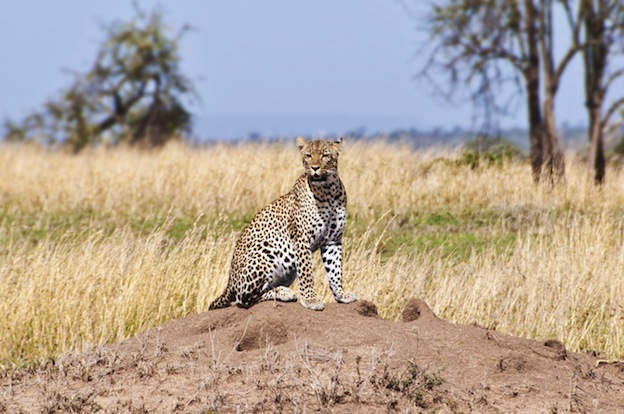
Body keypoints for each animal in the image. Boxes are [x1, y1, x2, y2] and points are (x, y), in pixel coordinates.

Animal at [208, 137, 356, 310]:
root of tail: (229, 283)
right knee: (243, 299)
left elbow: (335, 270)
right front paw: (311, 299)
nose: (314, 168)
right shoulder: (301, 238)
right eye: (308, 156)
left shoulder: (333, 240)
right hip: (264, 253)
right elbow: (307, 272)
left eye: (325, 155)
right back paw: (284, 293)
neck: (328, 191)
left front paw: (341, 295)